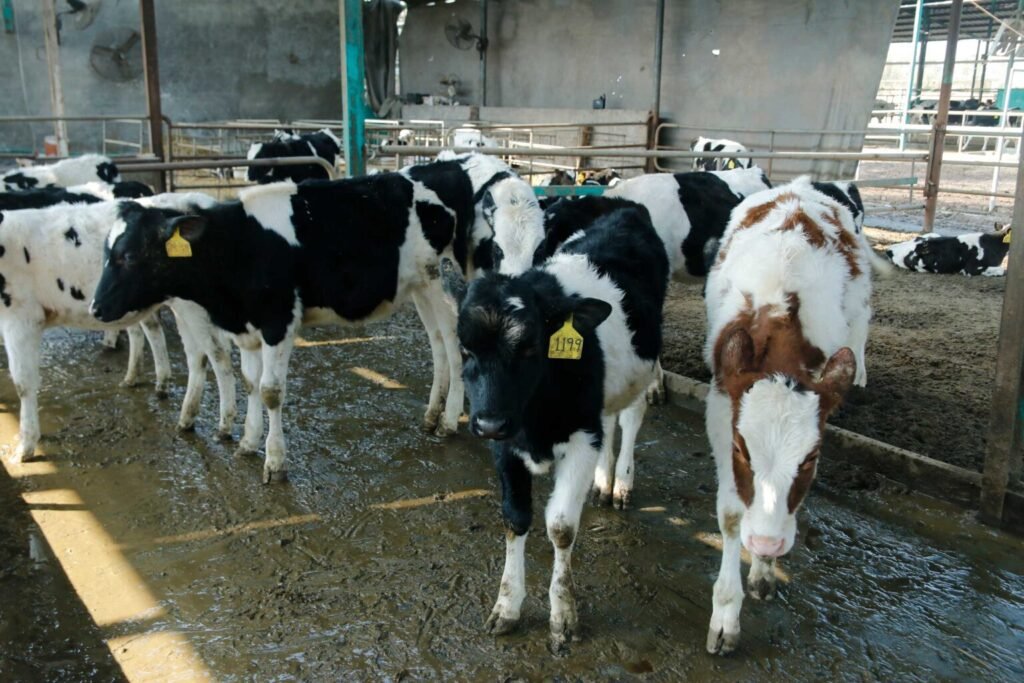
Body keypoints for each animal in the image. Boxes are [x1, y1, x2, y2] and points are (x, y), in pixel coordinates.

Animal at [0, 192, 236, 463]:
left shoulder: (21, 317)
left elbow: (23, 383)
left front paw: (26, 446)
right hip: (181, 304)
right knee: (197, 356)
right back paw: (186, 417)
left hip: (194, 306)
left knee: (218, 355)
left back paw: (224, 426)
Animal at [90, 153, 544, 483]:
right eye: (107, 251)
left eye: (129, 255)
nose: (96, 309)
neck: (241, 245)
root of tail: (482, 162)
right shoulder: (246, 327)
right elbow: (250, 382)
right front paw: (248, 442)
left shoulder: (278, 321)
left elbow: (271, 391)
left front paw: (274, 462)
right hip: (422, 281)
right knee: (440, 338)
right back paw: (436, 416)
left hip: (467, 275)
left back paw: (462, 421)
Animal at [439, 203, 668, 652]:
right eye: (465, 349)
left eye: (530, 346)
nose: (488, 422)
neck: (535, 416)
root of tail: (626, 208)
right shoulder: (505, 444)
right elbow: (515, 517)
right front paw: (507, 605)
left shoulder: (581, 438)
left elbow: (561, 527)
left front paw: (563, 614)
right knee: (610, 420)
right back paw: (603, 481)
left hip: (643, 368)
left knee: (630, 418)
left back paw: (621, 482)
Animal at [703, 178, 876, 655]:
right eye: (741, 450)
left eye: (812, 458)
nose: (766, 540)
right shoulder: (722, 405)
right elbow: (731, 513)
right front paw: (726, 613)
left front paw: (764, 566)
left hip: (861, 312)